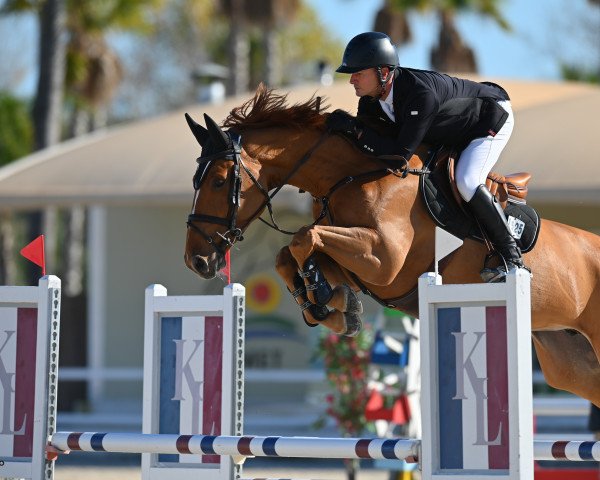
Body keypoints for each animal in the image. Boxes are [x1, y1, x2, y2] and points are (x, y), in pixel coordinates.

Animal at [182, 84, 600, 406]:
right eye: (195, 180)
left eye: (219, 180)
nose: (196, 261)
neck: (351, 175)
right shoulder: (360, 265)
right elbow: (290, 254)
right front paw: (332, 307)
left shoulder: (384, 261)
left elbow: (303, 237)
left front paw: (324, 297)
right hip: (567, 361)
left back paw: (509, 264)